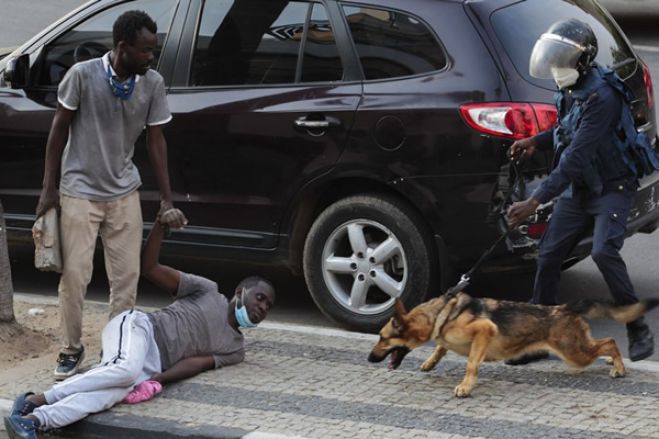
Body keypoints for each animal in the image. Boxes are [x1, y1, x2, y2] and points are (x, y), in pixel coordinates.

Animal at [368, 292, 656, 398]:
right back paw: (610, 362)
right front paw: (429, 361)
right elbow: (440, 348)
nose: (369, 359)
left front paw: (465, 386)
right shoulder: (447, 338)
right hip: (577, 348)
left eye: (382, 338)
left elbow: (472, 363)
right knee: (602, 343)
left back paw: (618, 366)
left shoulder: (484, 331)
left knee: (610, 341)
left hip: (574, 354)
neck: (439, 315)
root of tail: (566, 308)